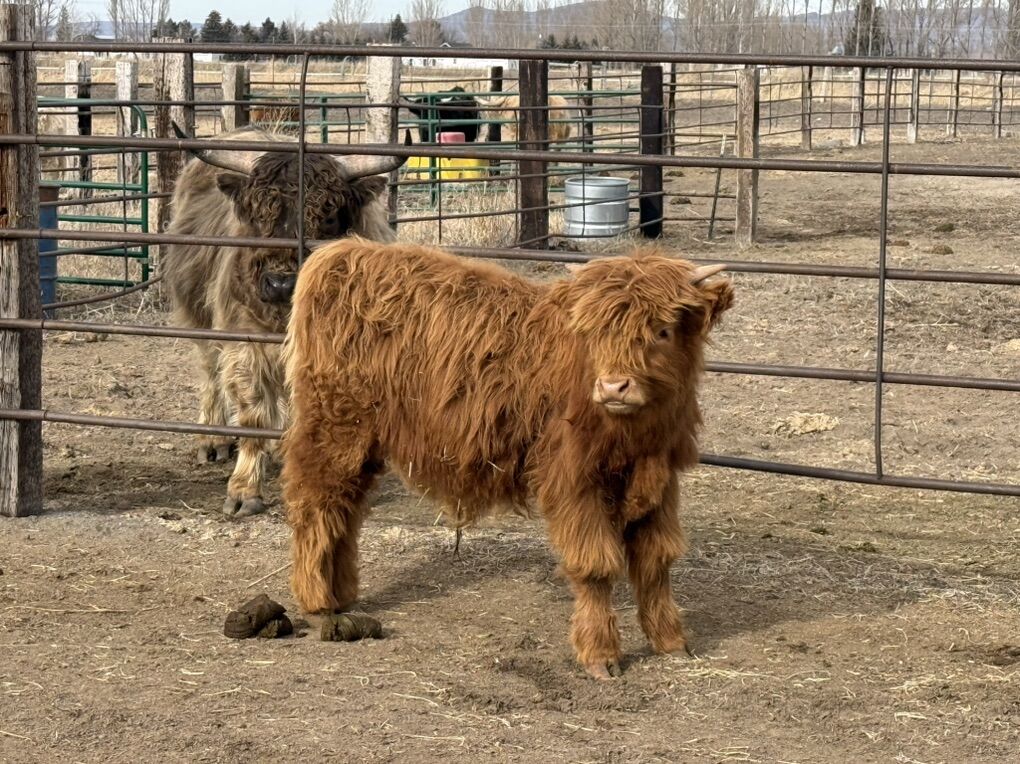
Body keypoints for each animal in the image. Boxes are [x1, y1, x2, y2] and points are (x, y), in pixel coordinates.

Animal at [163, 126, 406, 518]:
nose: (279, 283)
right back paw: (213, 440)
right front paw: (244, 490)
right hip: (197, 315)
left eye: (327, 212)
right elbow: (254, 415)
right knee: (209, 373)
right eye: (260, 212)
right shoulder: (245, 343)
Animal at [281, 237, 733, 679]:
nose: (613, 387)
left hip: (364, 444)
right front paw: (600, 655)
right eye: (593, 332)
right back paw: (318, 600)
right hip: (334, 428)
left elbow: (656, 561)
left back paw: (342, 594)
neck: (637, 436)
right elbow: (594, 564)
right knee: (316, 504)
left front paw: (671, 641)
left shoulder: (659, 478)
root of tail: (341, 252)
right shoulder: (574, 478)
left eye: (663, 330)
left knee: (345, 512)